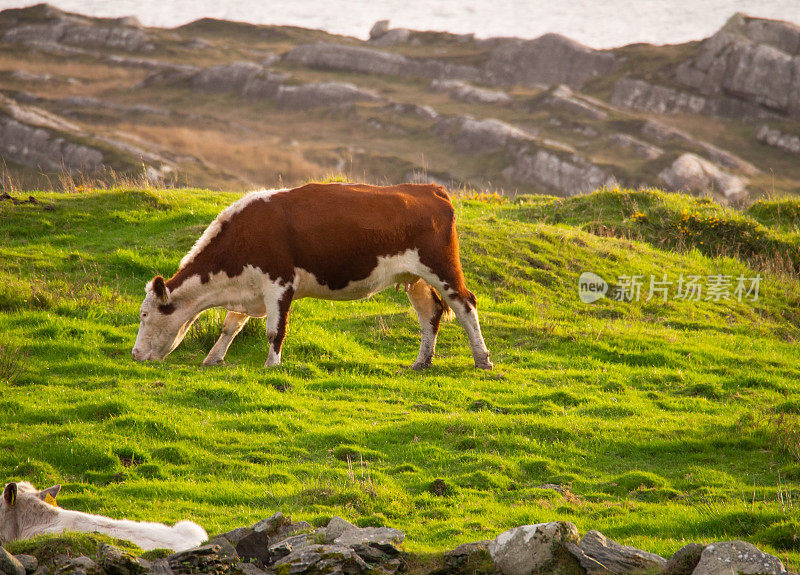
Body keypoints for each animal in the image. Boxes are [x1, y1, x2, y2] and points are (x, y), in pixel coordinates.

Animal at [131, 183, 490, 368]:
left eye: (145, 315)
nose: (134, 354)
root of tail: (429, 189)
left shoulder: (279, 284)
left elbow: (274, 331)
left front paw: (271, 365)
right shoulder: (250, 289)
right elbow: (230, 326)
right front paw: (213, 358)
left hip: (441, 267)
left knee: (465, 304)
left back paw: (482, 359)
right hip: (413, 277)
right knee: (430, 312)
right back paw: (421, 362)